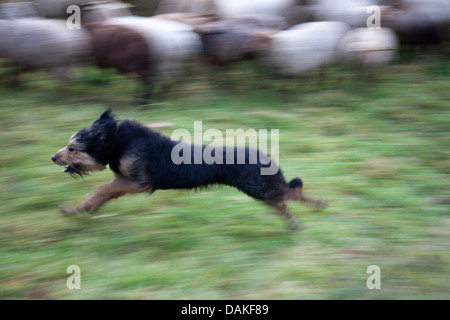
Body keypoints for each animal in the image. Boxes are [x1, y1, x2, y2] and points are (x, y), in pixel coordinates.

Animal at [51, 110, 326, 230]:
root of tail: (268, 158)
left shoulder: (140, 182)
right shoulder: (124, 179)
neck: (118, 141)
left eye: (72, 148)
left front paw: (81, 207)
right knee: (283, 201)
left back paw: (318, 205)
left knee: (292, 193)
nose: (53, 157)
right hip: (261, 190)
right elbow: (103, 192)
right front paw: (83, 208)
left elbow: (100, 189)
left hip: (258, 187)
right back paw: (294, 222)